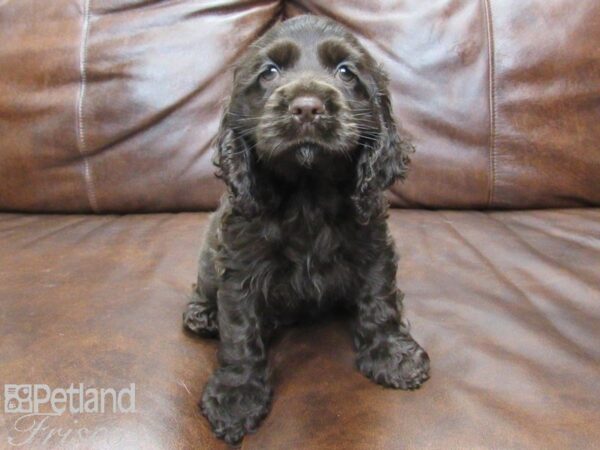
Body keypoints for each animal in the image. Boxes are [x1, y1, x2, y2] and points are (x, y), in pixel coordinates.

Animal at [182, 15, 426, 444]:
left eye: (346, 72)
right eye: (269, 72)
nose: (307, 107)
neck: (308, 192)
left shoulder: (373, 246)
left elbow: (379, 301)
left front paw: (392, 354)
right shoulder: (240, 266)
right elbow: (240, 331)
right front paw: (236, 395)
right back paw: (204, 315)